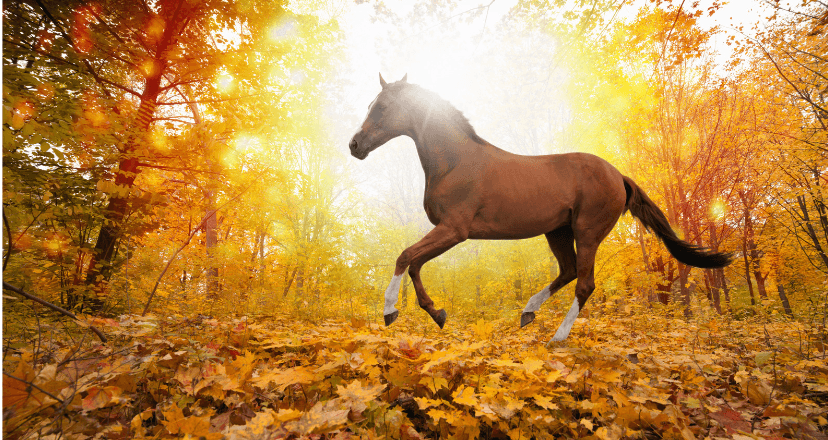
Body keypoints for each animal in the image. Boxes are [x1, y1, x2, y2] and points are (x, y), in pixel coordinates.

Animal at [349, 74, 732, 342]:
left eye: (382, 107)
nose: (354, 145)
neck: (456, 162)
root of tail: (618, 176)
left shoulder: (454, 230)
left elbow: (405, 257)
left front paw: (389, 311)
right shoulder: (448, 232)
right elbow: (415, 263)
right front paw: (437, 313)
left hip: (587, 233)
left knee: (584, 283)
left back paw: (557, 337)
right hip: (557, 232)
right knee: (568, 271)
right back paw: (528, 312)